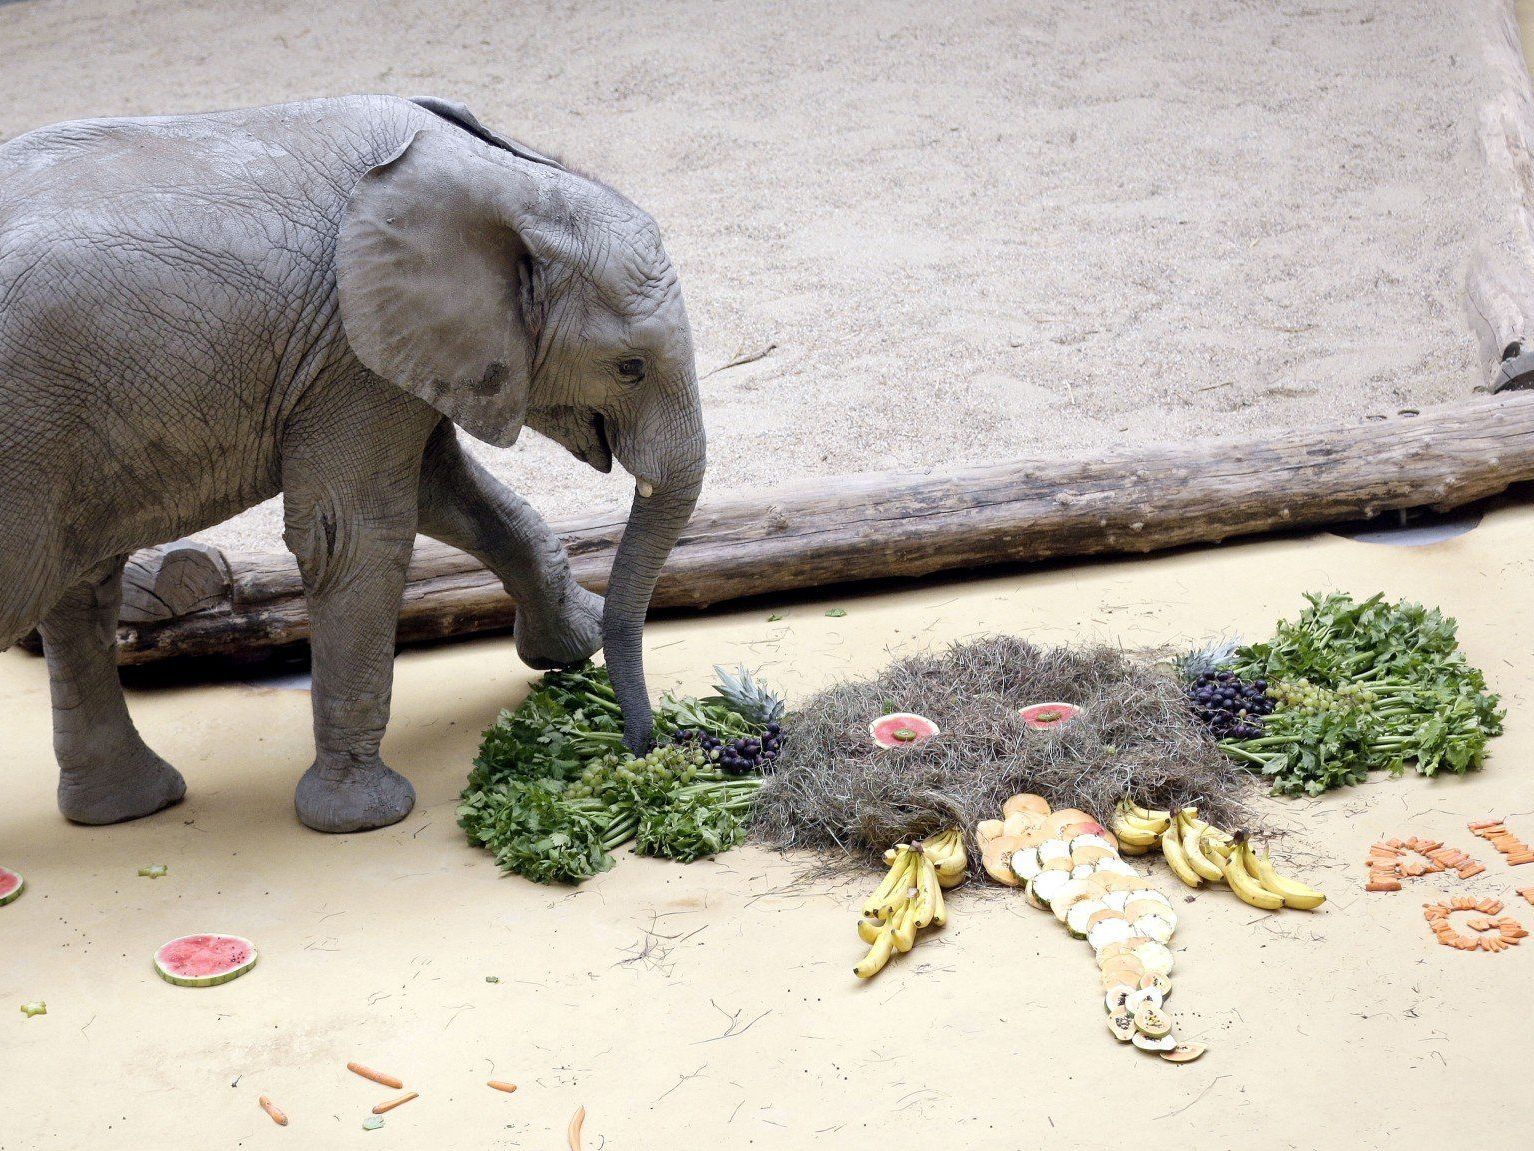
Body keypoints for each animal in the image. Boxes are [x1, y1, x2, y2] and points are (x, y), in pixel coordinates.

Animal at [0, 95, 704, 833]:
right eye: (630, 367)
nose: (645, 746)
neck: (501, 178)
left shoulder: (385, 355)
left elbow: (445, 493)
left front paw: (570, 646)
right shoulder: (345, 350)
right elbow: (356, 533)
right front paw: (365, 818)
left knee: (81, 588)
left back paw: (129, 806)